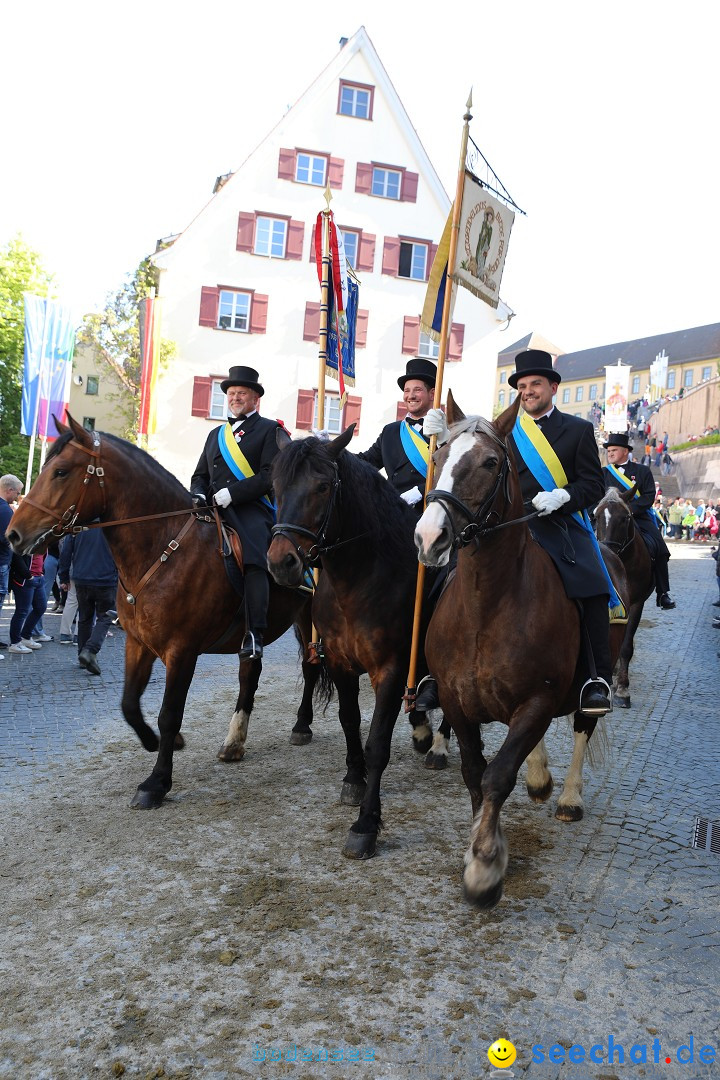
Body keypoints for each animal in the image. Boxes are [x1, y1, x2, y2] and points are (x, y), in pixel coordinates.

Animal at [414, 393, 626, 907]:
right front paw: (477, 841)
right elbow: (475, 771)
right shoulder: (457, 701)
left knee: (581, 727)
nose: (429, 538)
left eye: (491, 463)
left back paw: (568, 796)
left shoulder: (537, 699)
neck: (486, 606)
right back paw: (540, 777)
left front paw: (485, 866)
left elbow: (498, 774)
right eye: (437, 456)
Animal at [595, 483, 656, 708]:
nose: (607, 549)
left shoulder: (637, 604)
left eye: (625, 518)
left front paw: (622, 688)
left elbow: (626, 646)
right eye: (595, 516)